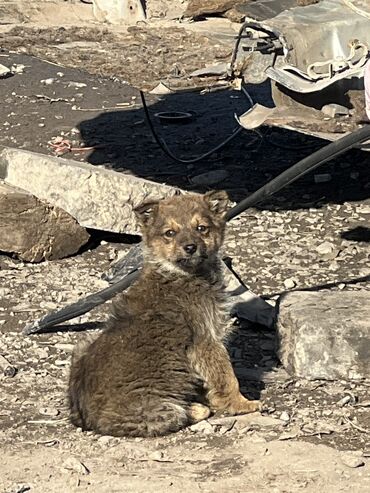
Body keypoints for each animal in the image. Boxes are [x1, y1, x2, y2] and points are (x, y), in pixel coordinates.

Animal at [69, 190, 260, 436]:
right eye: (170, 233)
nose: (190, 247)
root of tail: (89, 422)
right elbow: (226, 376)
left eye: (202, 228)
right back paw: (196, 407)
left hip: (83, 344)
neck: (181, 273)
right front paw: (241, 403)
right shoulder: (205, 338)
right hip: (158, 410)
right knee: (179, 415)